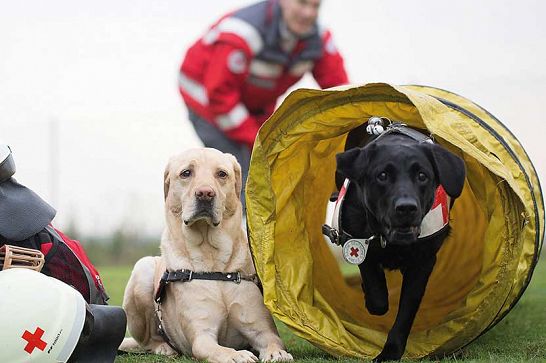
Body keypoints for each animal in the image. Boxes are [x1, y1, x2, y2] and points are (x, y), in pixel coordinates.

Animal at [118, 149, 288, 363]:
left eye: (222, 174)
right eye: (186, 173)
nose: (205, 193)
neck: (214, 262)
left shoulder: (261, 329)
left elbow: (275, 341)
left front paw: (277, 353)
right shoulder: (202, 336)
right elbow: (218, 349)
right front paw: (237, 355)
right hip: (143, 269)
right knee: (148, 341)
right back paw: (163, 348)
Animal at [336, 129, 464, 362]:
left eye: (422, 176)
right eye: (382, 176)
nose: (406, 208)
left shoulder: (423, 264)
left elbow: (406, 310)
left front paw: (390, 352)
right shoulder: (358, 242)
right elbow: (377, 297)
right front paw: (368, 295)